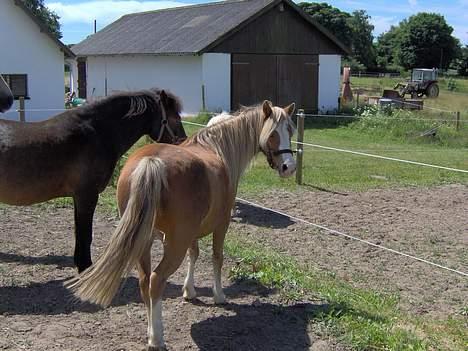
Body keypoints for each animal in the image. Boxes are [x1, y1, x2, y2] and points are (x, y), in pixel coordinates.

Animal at [0, 88, 186, 272]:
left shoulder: (79, 197)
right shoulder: (87, 195)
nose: (183, 144)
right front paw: (85, 267)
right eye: (175, 118)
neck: (97, 132)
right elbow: (85, 235)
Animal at [68, 100, 296, 350]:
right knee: (156, 280)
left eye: (291, 131)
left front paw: (189, 291)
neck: (216, 148)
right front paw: (219, 295)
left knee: (145, 282)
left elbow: (194, 254)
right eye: (273, 133)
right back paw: (157, 338)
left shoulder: (191, 233)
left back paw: (150, 331)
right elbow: (217, 257)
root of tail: (151, 162)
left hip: (144, 242)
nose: (289, 167)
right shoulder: (221, 225)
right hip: (173, 243)